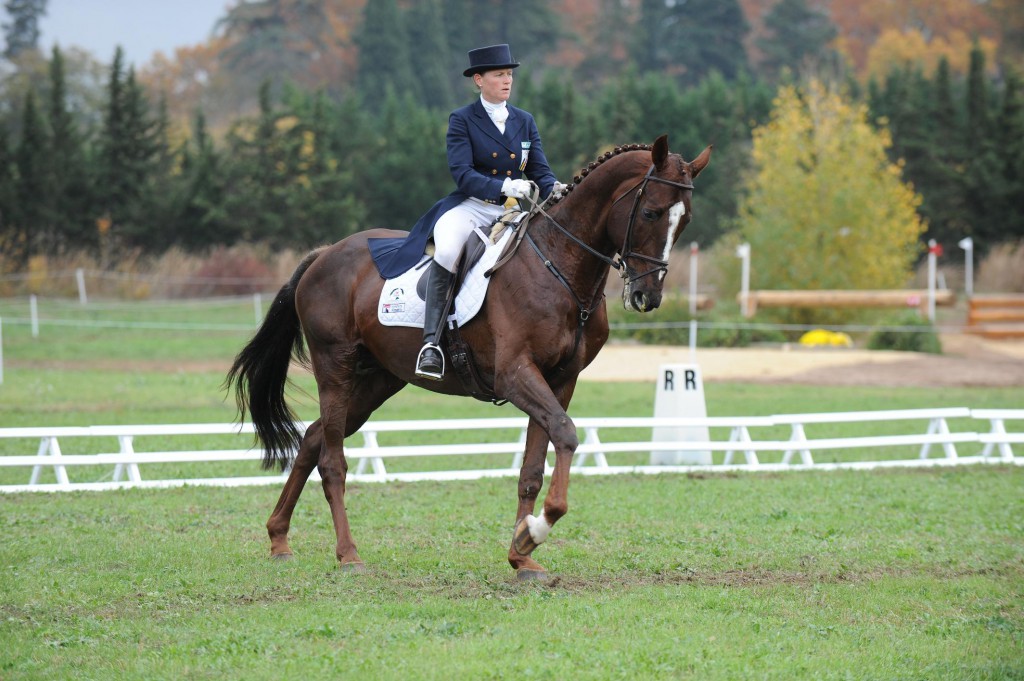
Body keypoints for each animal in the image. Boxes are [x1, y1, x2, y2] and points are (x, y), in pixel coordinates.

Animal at [227, 134, 712, 577]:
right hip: (336, 367)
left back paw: (279, 539)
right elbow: (567, 433)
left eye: (685, 220)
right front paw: (538, 529)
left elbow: (533, 467)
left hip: (378, 379)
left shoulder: (559, 379)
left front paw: (522, 553)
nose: (647, 296)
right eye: (650, 212)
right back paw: (348, 555)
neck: (561, 266)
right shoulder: (515, 375)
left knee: (312, 439)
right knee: (332, 460)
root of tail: (325, 253)